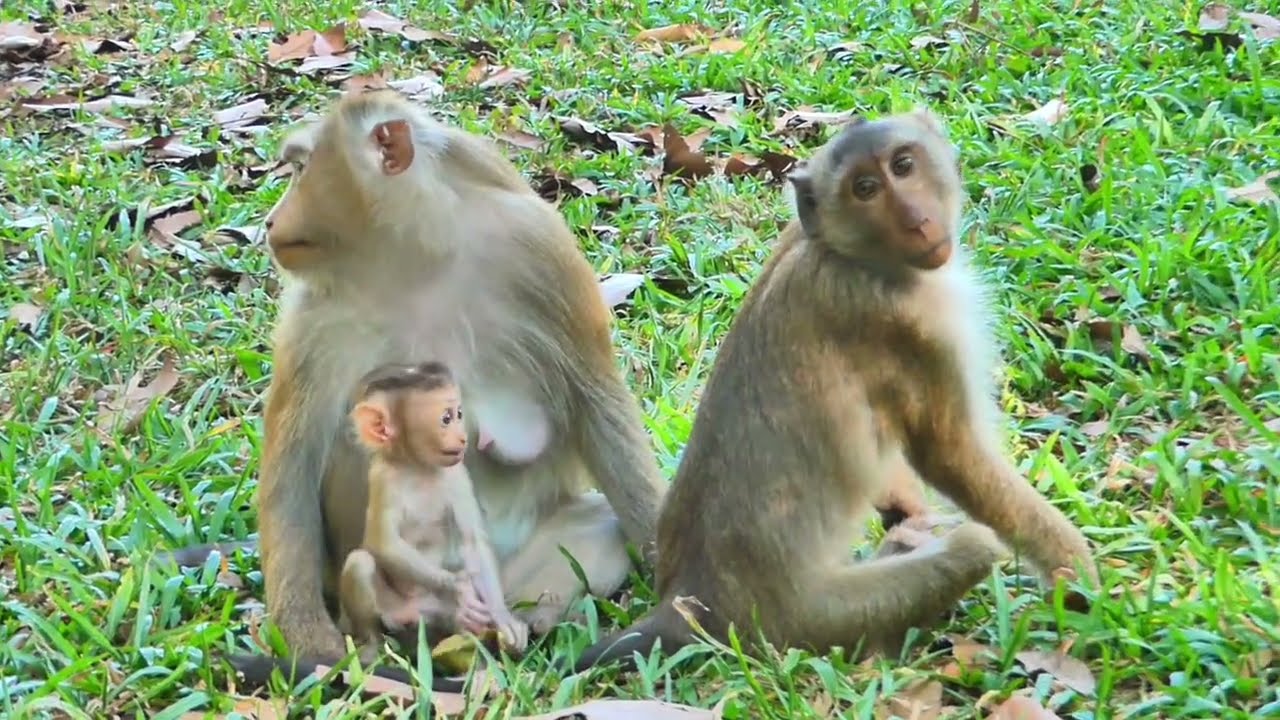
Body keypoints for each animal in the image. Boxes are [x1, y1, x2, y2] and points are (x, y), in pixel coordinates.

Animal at [337, 361, 528, 664]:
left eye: (459, 414)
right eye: (446, 419)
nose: (463, 437)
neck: (418, 468)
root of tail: (411, 613)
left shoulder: (458, 475)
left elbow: (473, 544)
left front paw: (502, 617)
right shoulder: (383, 479)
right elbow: (383, 543)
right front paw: (459, 588)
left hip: (433, 610)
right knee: (360, 563)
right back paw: (371, 643)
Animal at [567, 107, 1098, 675]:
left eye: (903, 165)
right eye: (865, 189)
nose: (917, 219)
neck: (846, 253)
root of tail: (684, 603)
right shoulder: (913, 323)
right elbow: (949, 453)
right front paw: (1081, 580)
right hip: (807, 620)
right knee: (974, 544)